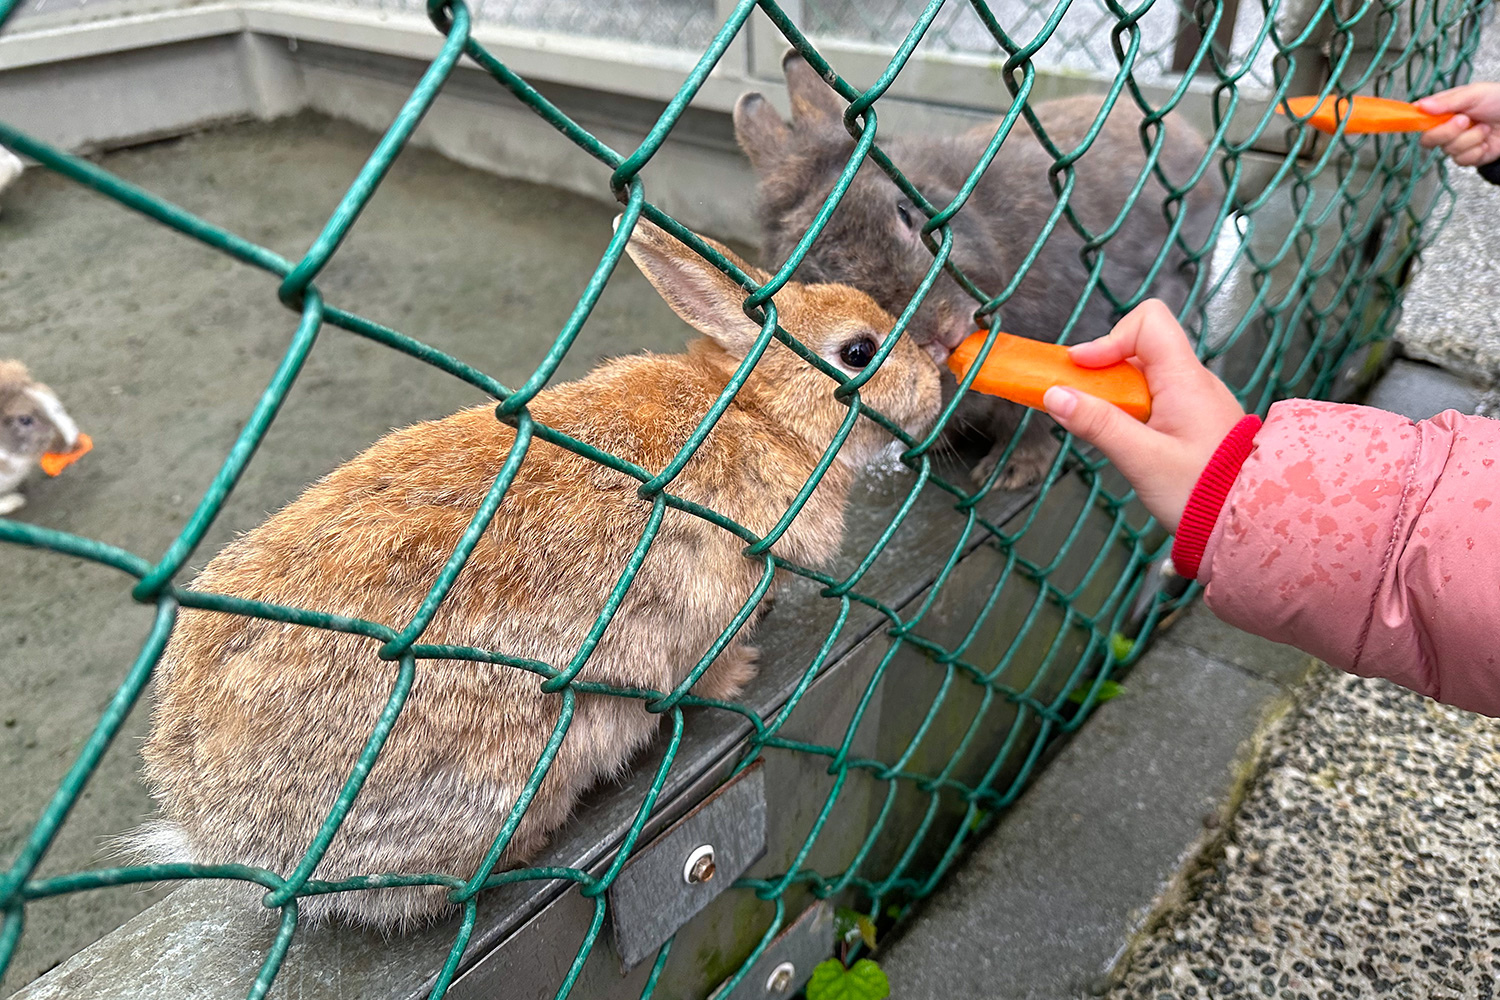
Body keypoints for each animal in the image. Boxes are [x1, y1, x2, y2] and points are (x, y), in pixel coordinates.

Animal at [138, 217, 936, 929]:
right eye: (858, 352)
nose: (934, 381)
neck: (756, 411)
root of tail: (214, 826)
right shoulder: (703, 614)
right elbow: (702, 669)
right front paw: (740, 677)